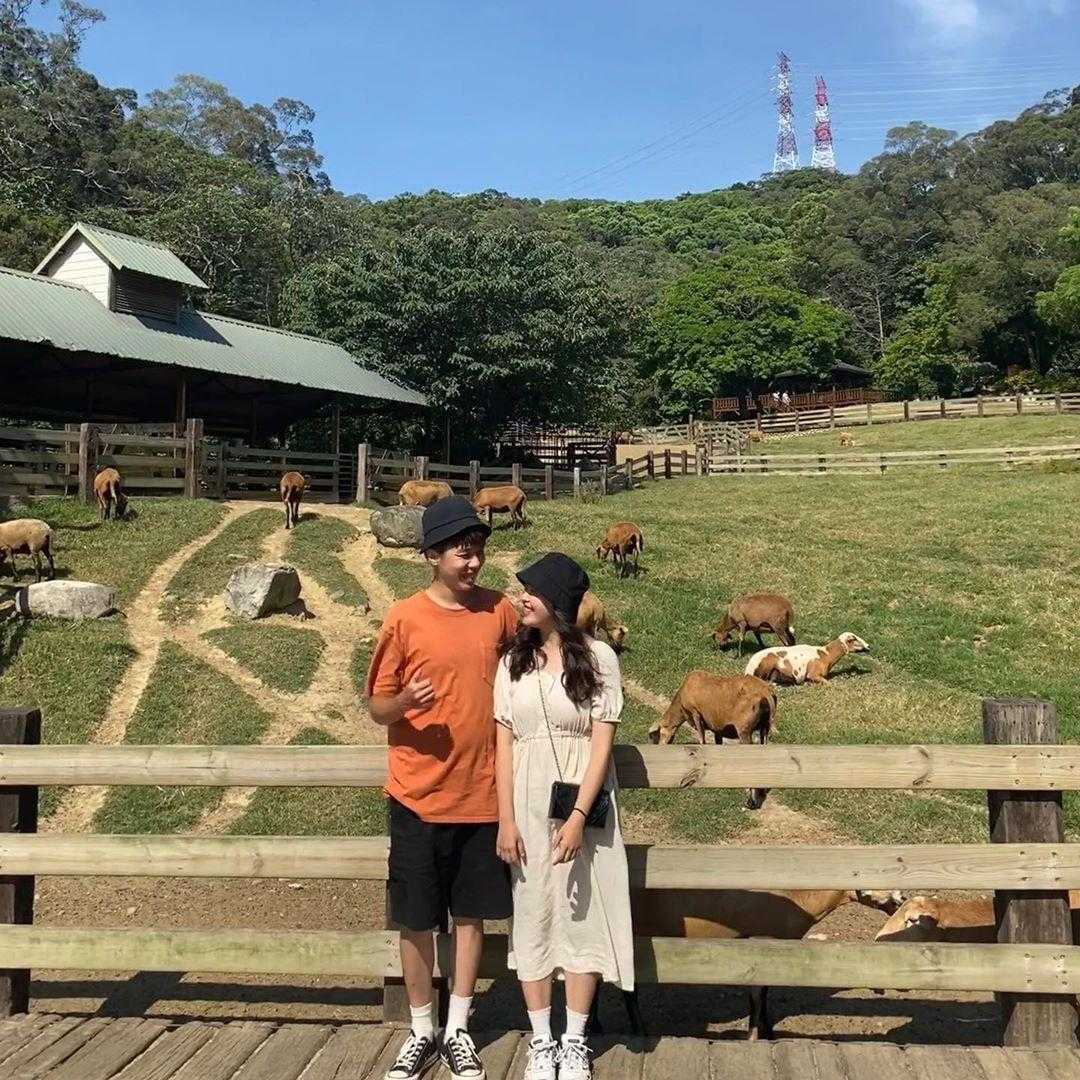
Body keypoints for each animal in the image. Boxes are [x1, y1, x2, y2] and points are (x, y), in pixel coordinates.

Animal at [648, 665, 777, 812]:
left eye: (660, 733)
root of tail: (767, 693)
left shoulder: (696, 714)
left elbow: (702, 740)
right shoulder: (717, 727)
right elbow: (717, 745)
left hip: (744, 730)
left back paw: (750, 800)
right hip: (765, 728)